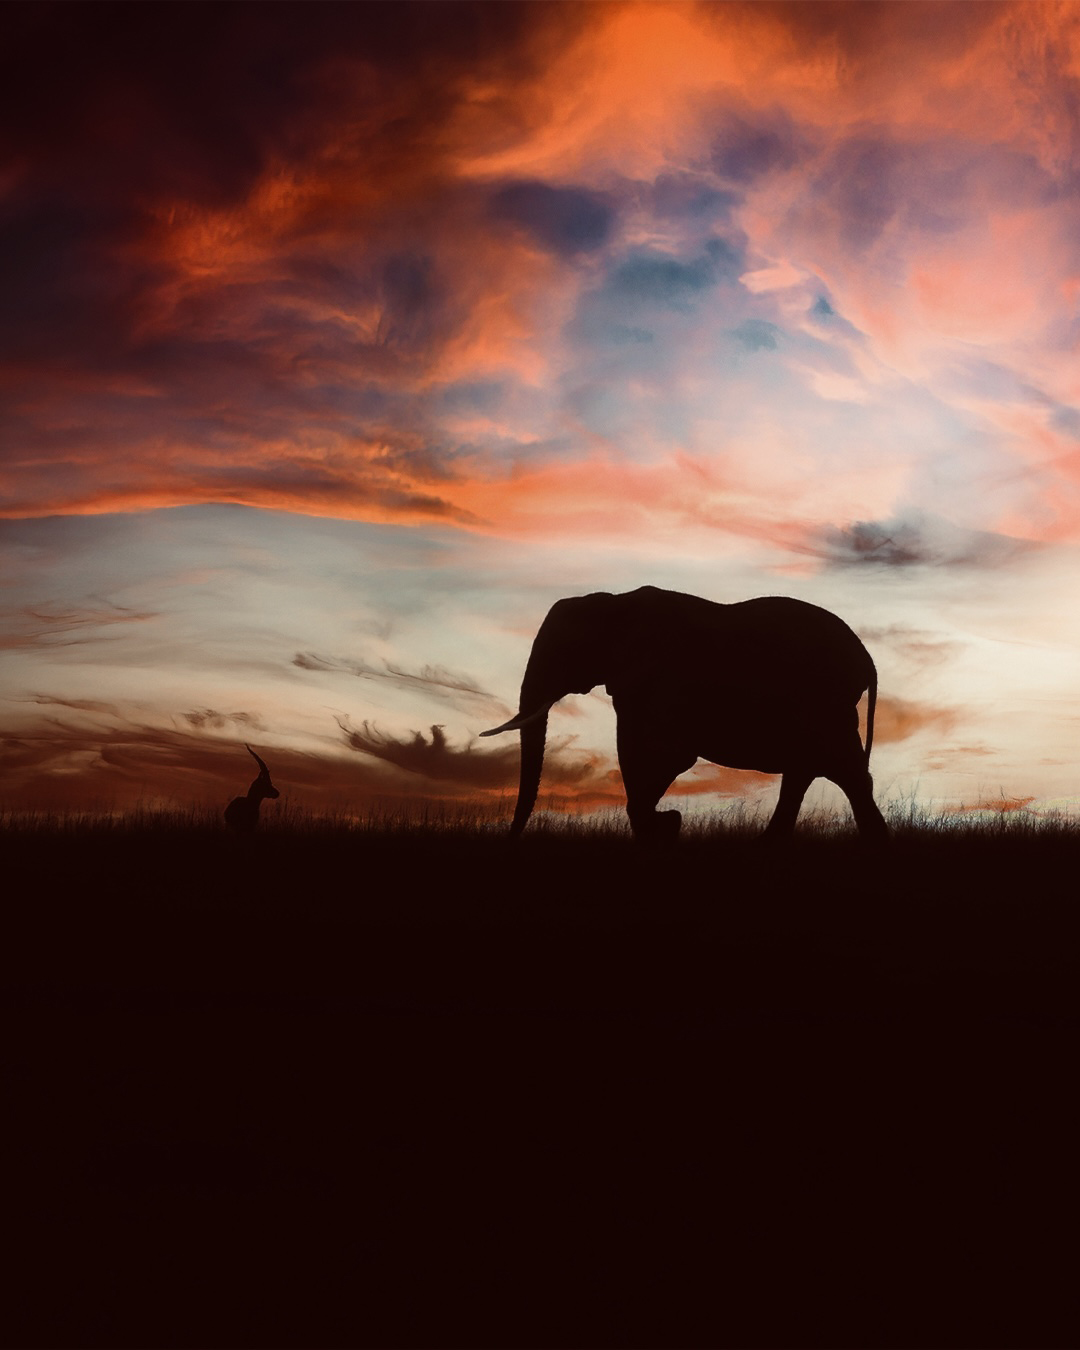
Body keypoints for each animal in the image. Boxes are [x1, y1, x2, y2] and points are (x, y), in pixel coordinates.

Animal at [481, 585, 889, 842]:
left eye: (564, 649)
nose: (510, 837)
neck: (613, 603)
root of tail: (868, 660)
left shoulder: (659, 676)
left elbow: (666, 754)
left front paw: (667, 826)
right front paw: (666, 827)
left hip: (825, 702)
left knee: (842, 772)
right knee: (816, 773)